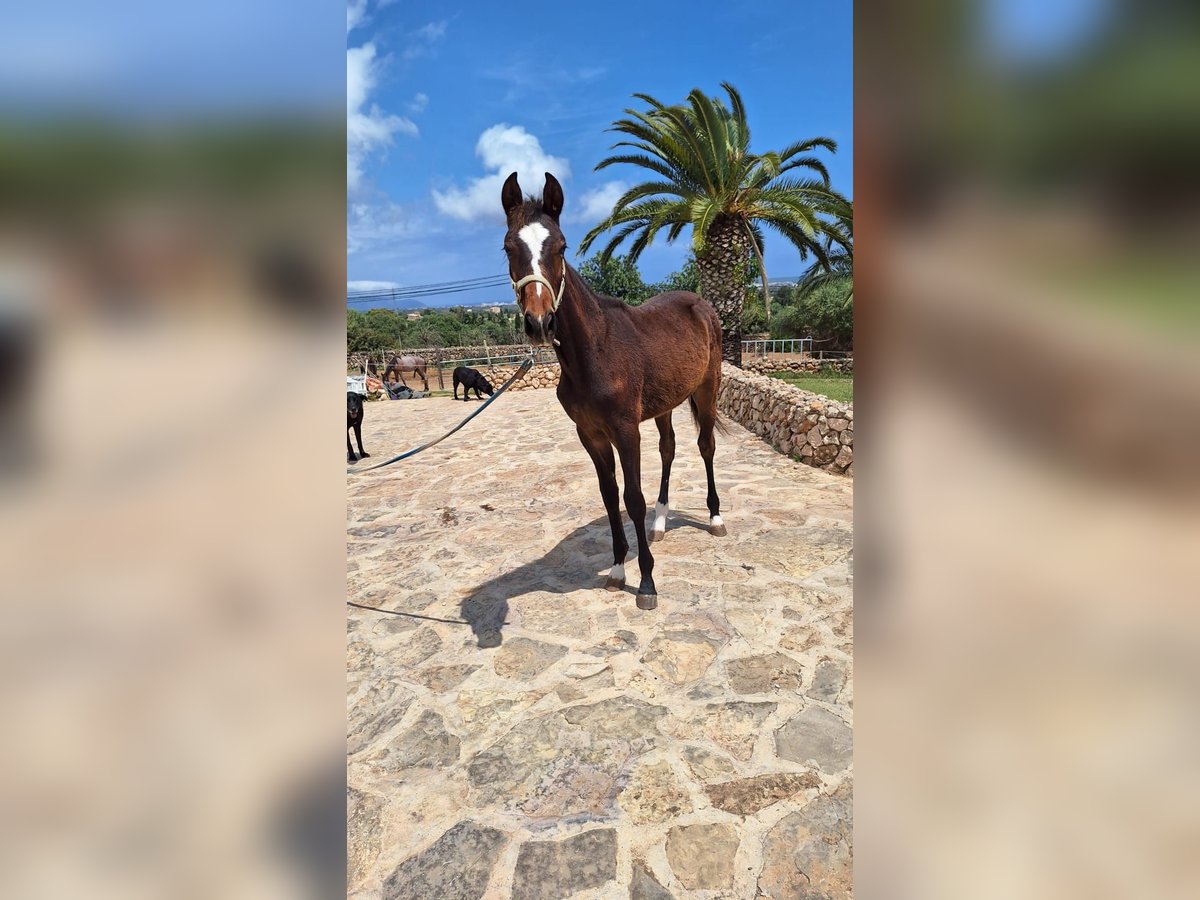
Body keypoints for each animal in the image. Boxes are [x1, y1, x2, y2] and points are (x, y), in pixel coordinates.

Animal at [501, 171, 727, 611]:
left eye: (561, 246)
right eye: (507, 247)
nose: (540, 323)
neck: (596, 351)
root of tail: (701, 303)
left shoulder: (625, 431)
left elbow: (632, 498)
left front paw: (647, 583)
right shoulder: (590, 435)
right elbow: (609, 497)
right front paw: (620, 568)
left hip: (708, 389)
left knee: (706, 446)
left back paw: (715, 518)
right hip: (665, 404)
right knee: (669, 448)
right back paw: (660, 523)